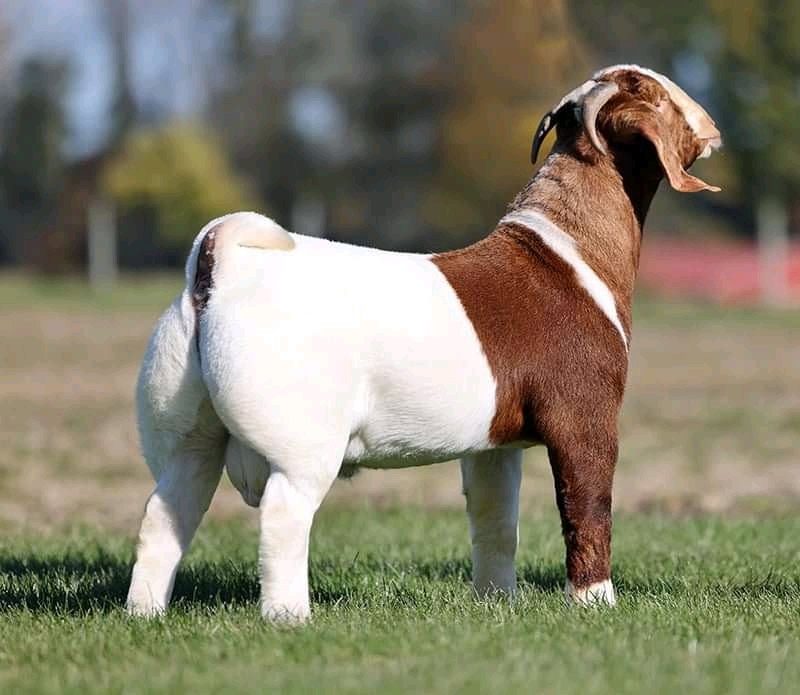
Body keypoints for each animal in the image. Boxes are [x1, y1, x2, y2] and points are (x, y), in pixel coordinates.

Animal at [126, 65, 722, 621]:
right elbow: (587, 508)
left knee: (165, 513)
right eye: (652, 93)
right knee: (283, 515)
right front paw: (596, 603)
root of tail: (221, 261)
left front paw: (497, 601)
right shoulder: (585, 421)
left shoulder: (493, 447)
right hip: (303, 446)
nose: (711, 123)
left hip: (188, 433)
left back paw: (144, 612)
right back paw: (290, 617)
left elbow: (495, 523)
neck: (568, 250)